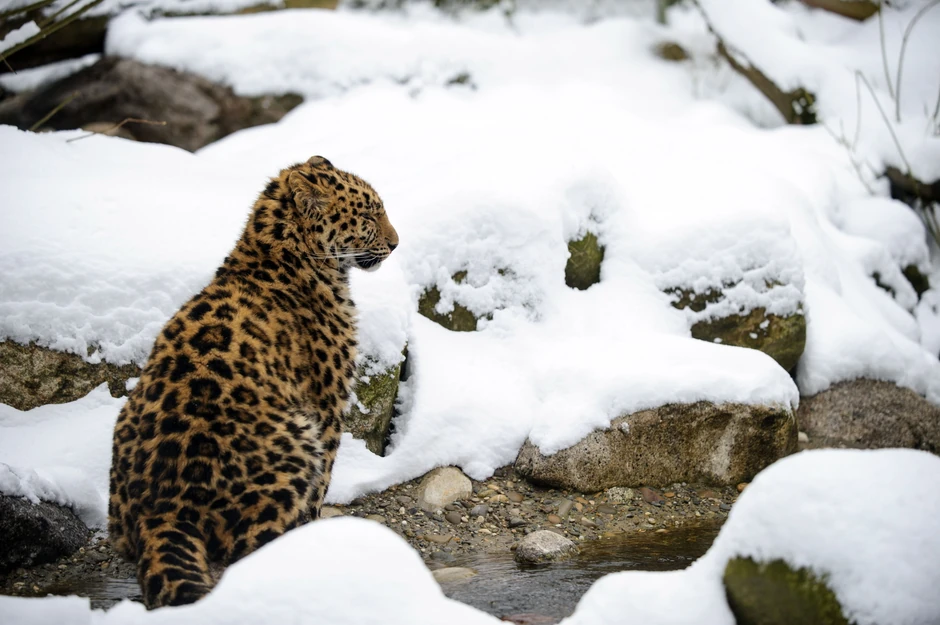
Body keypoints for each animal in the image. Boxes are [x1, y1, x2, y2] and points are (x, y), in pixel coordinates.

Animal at [108, 156, 398, 609]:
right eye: (369, 215)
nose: (397, 243)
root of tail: (161, 510)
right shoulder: (327, 405)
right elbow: (321, 487)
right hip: (296, 440)